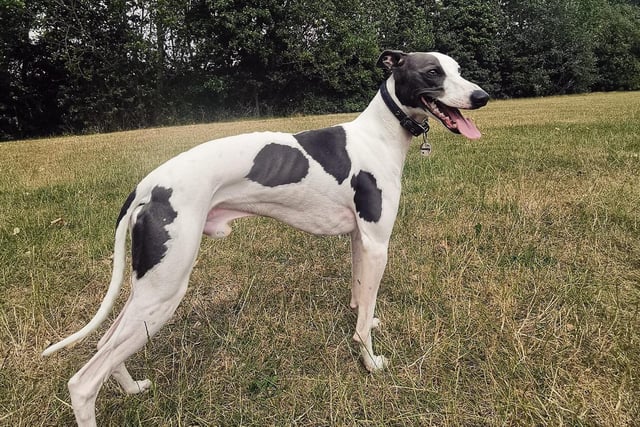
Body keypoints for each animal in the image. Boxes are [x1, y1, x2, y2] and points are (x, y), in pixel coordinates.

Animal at [42, 50, 488, 424]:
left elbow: (361, 296)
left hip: (148, 286)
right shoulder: (378, 244)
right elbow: (362, 320)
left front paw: (368, 318)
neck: (377, 135)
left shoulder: (360, 240)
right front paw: (371, 362)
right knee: (83, 382)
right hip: (164, 291)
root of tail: (148, 186)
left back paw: (133, 387)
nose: (482, 96)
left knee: (105, 343)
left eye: (459, 68)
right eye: (433, 73)